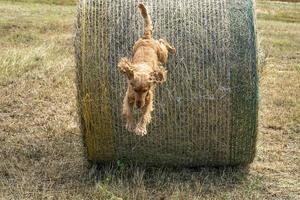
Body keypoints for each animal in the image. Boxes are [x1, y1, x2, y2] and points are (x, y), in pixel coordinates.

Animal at [118, 3, 176, 136]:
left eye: (145, 90)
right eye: (135, 89)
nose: (139, 105)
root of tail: (147, 37)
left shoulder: (148, 101)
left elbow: (144, 115)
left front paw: (140, 128)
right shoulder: (128, 97)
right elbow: (128, 111)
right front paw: (131, 124)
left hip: (163, 55)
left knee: (162, 41)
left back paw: (172, 48)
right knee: (161, 40)